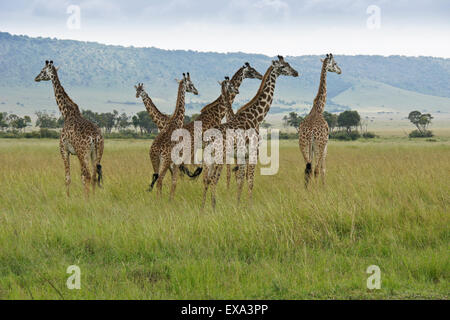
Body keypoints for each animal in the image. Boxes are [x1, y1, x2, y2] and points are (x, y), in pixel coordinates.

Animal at [34, 59, 104, 195]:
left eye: (42, 71)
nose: (36, 78)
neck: (66, 113)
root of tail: (95, 137)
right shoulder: (74, 153)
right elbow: (79, 177)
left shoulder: (64, 150)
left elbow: (68, 178)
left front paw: (67, 197)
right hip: (97, 153)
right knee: (93, 176)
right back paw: (93, 197)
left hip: (83, 153)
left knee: (88, 175)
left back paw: (88, 198)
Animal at [149, 72, 198, 200]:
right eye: (191, 84)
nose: (196, 91)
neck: (175, 121)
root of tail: (156, 150)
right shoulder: (177, 159)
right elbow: (175, 181)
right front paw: (171, 199)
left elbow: (173, 180)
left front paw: (170, 198)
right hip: (165, 161)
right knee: (160, 180)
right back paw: (159, 200)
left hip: (155, 160)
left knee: (156, 178)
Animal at [200, 55, 298, 210]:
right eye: (283, 67)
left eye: (288, 63)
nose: (296, 73)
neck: (255, 117)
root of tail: (209, 139)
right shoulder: (252, 152)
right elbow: (250, 180)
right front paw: (248, 206)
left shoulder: (242, 155)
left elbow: (241, 179)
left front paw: (238, 205)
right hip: (220, 157)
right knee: (213, 179)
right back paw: (213, 208)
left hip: (208, 158)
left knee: (206, 179)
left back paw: (203, 209)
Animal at [298, 53, 342, 188]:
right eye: (335, 63)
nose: (340, 70)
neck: (318, 108)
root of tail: (311, 132)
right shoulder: (326, 145)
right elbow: (323, 168)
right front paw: (324, 187)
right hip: (319, 145)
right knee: (316, 169)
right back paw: (316, 190)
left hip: (304, 145)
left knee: (307, 168)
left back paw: (306, 190)